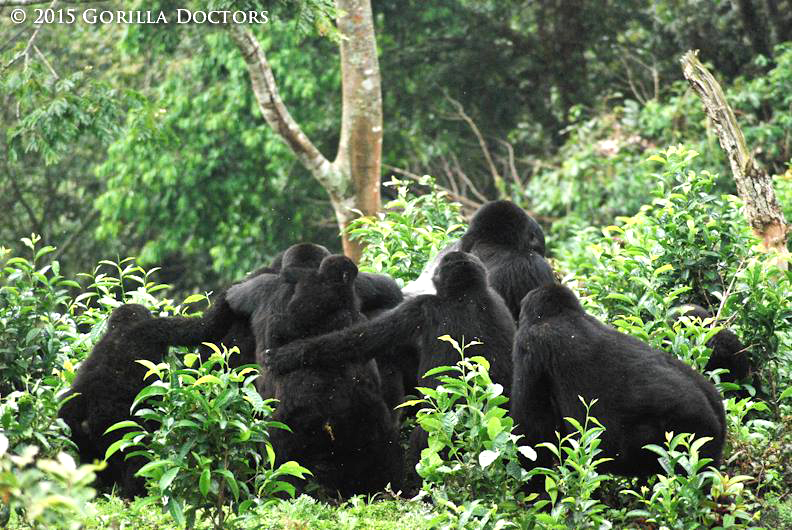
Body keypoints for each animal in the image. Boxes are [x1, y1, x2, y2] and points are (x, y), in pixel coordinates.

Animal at [58, 296, 234, 496]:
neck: (122, 328)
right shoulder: (156, 328)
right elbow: (203, 327)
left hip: (71, 425)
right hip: (115, 423)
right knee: (137, 453)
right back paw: (135, 494)